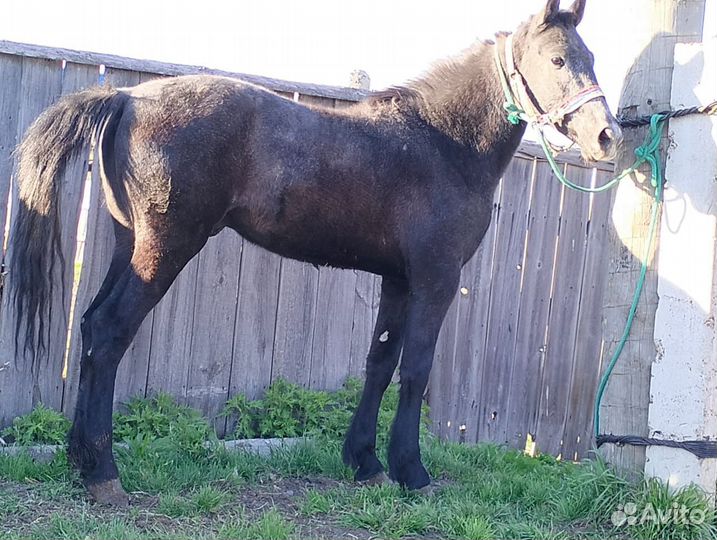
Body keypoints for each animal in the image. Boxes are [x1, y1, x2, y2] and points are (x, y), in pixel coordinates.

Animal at [9, 0, 621, 505]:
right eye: (559, 58)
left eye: (592, 56)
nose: (607, 137)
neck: (441, 142)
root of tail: (126, 97)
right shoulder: (436, 279)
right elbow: (415, 370)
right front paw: (412, 472)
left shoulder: (398, 280)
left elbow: (380, 363)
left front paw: (366, 463)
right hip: (163, 250)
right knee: (111, 332)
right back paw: (103, 474)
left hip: (127, 244)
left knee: (91, 328)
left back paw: (79, 459)